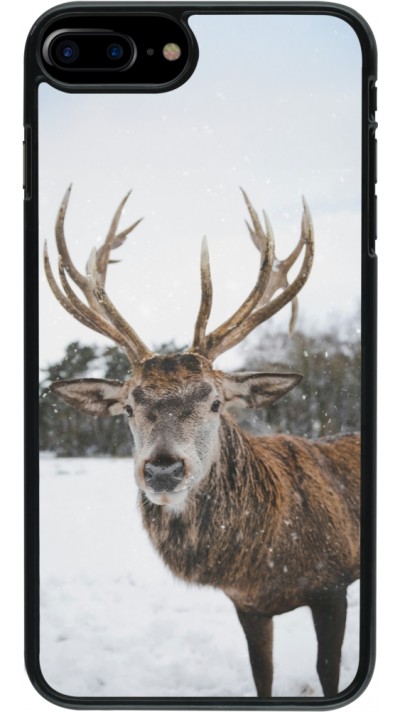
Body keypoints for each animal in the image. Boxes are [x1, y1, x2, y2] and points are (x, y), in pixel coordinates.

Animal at [44, 186, 360, 698]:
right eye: (128, 407)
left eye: (215, 402)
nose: (163, 469)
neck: (266, 562)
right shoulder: (247, 605)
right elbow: (262, 678)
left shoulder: (333, 586)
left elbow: (328, 673)